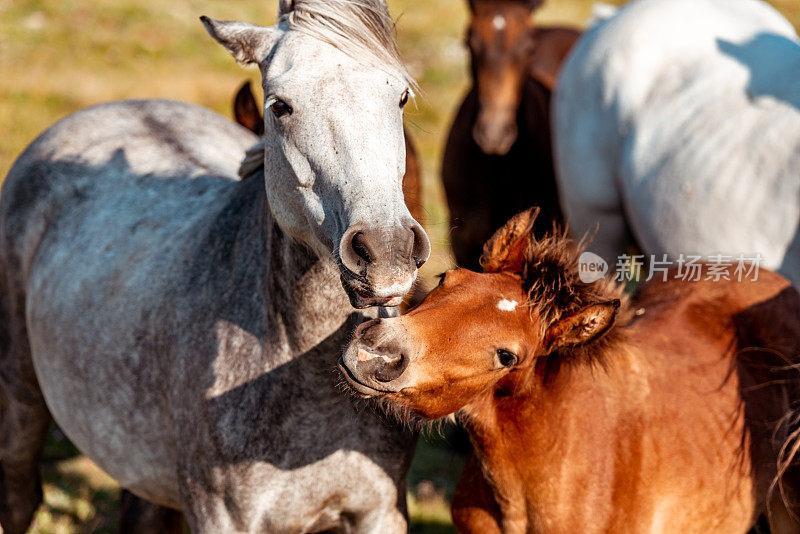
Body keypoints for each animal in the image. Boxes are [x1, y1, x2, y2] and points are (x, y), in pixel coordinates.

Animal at [0, 2, 432, 532]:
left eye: (400, 96)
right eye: (280, 106)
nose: (386, 250)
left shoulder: (380, 512)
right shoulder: (221, 518)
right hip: (19, 400)